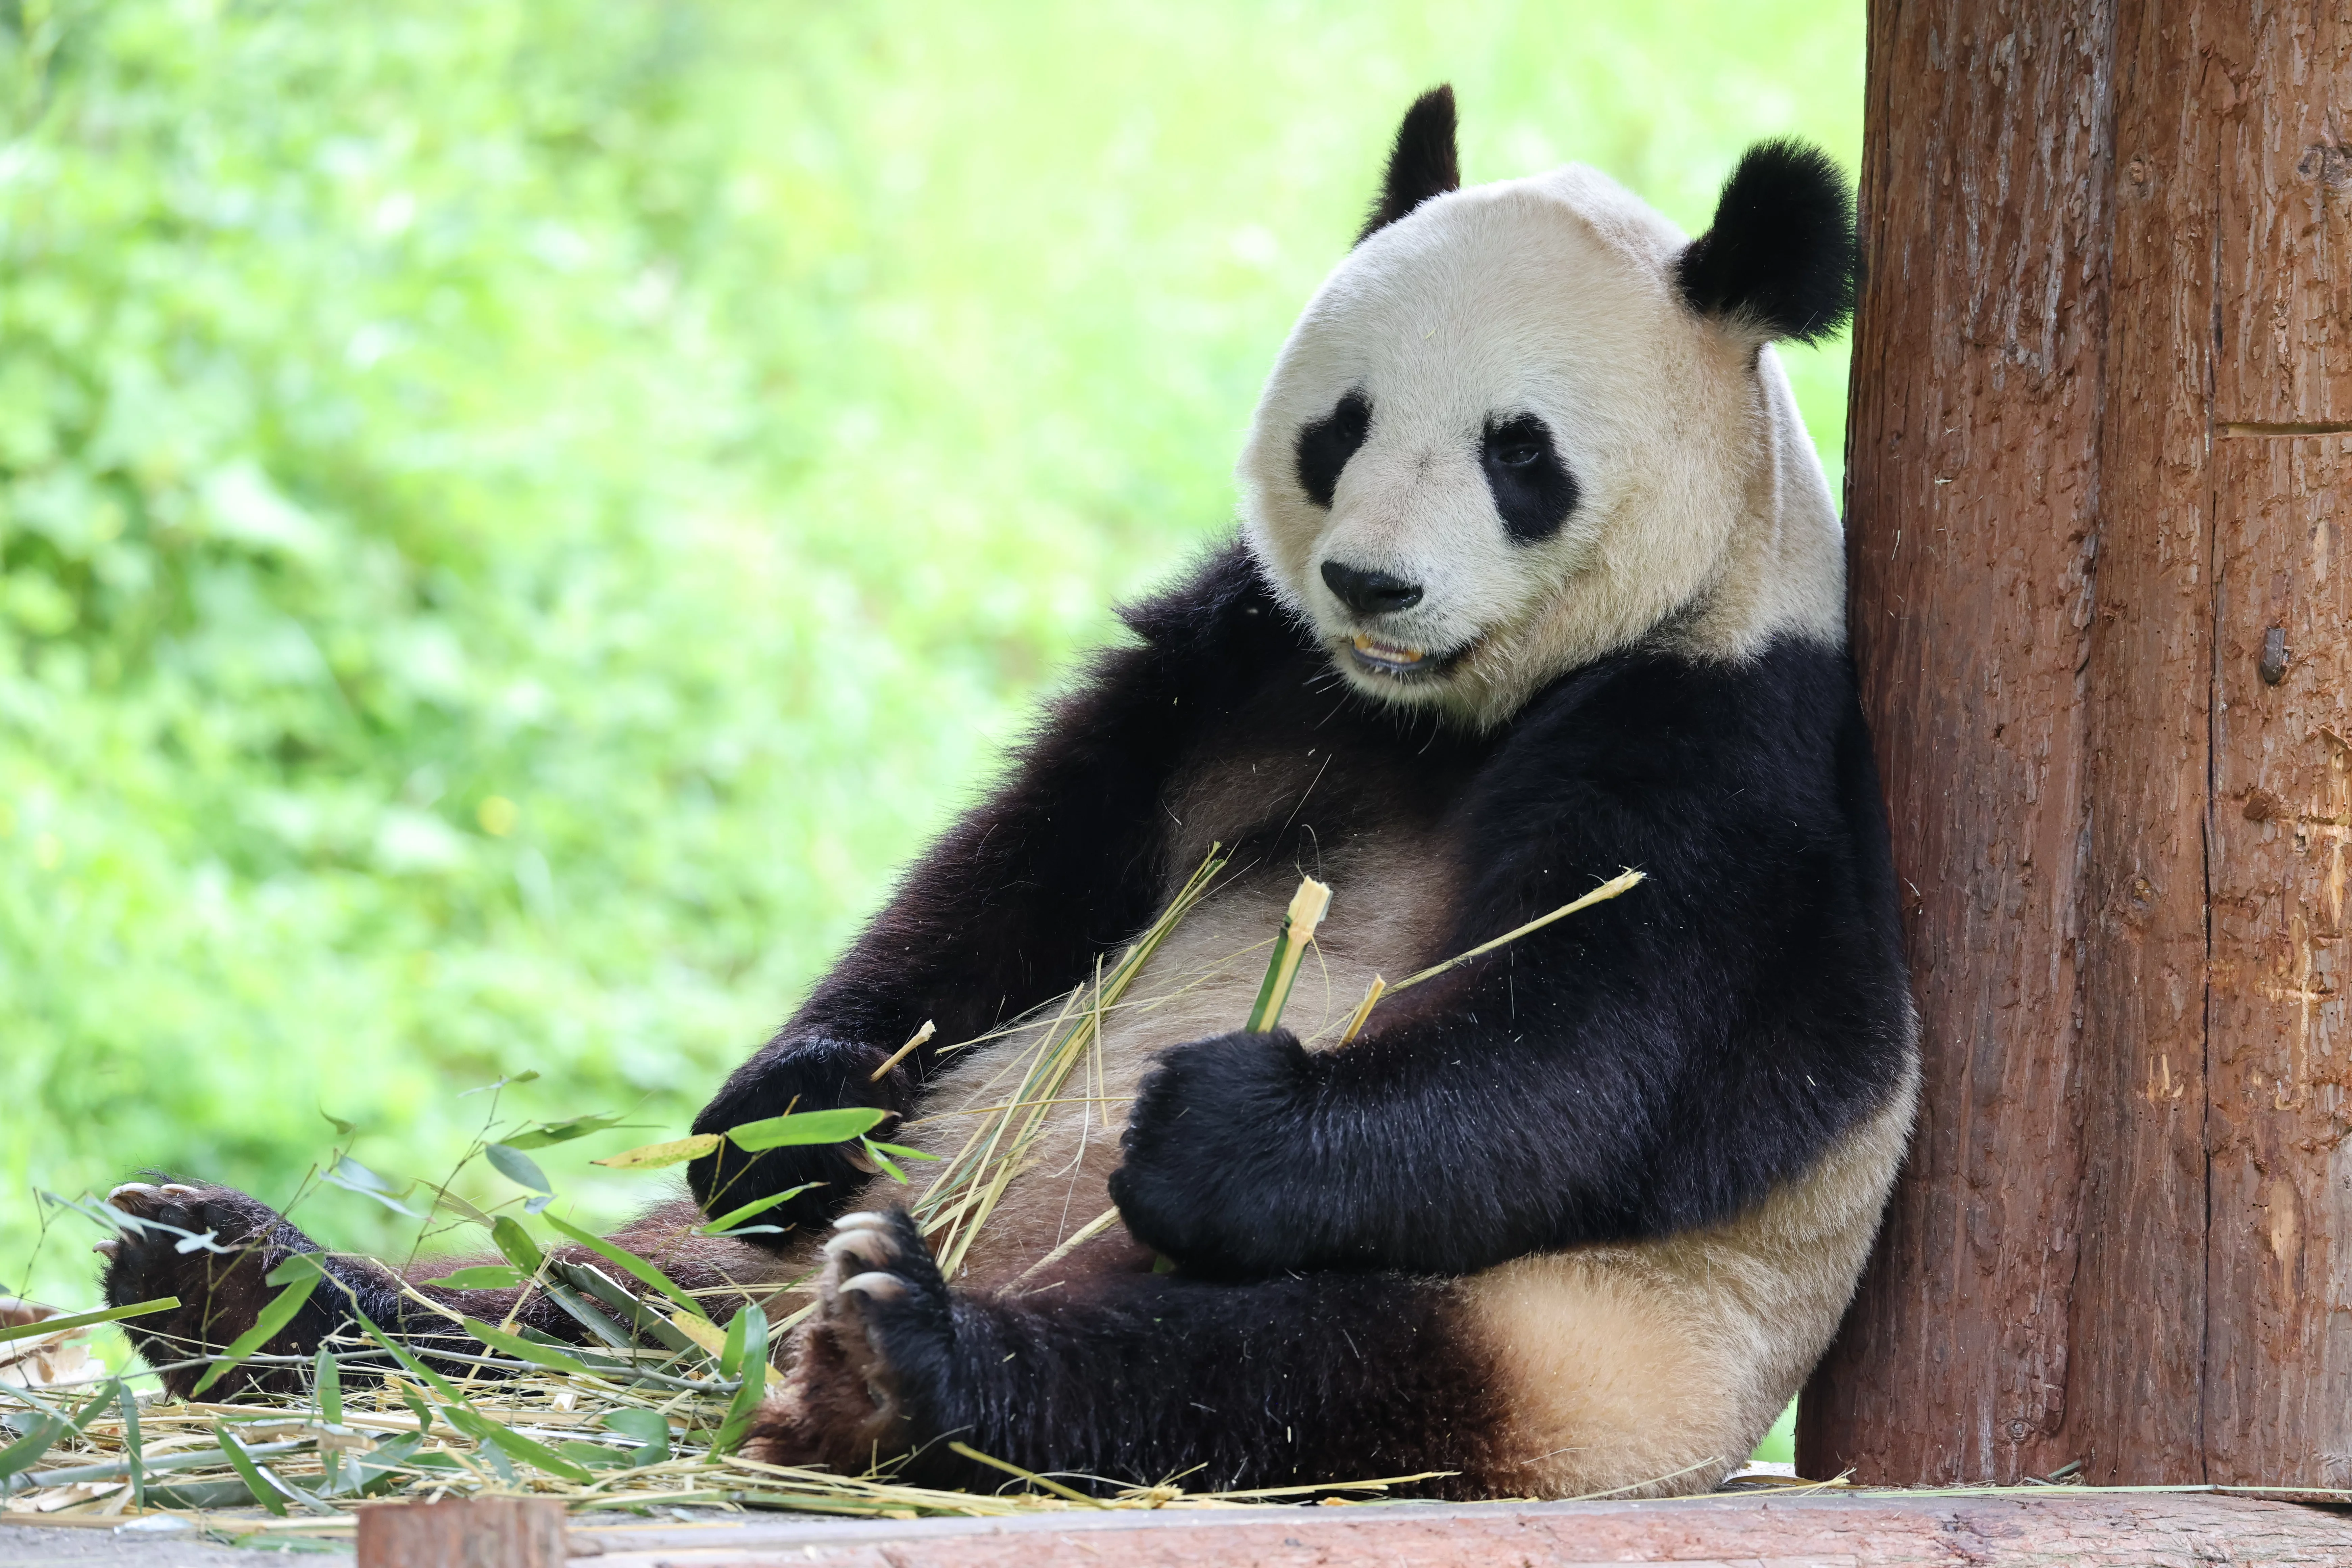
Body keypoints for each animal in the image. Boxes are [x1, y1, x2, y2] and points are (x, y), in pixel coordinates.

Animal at [97, 87, 1915, 1501]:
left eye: (1517, 452)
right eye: (1340, 427)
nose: (1376, 584)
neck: (1439, 718)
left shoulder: (1722, 741)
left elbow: (1591, 1058)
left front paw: (1214, 1122)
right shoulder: (1246, 657)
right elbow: (1030, 863)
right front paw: (787, 1098)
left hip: (1559, 1344)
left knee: (1261, 1380)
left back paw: (901, 1368)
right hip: (749, 1254)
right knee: (573, 1294)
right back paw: (238, 1281)